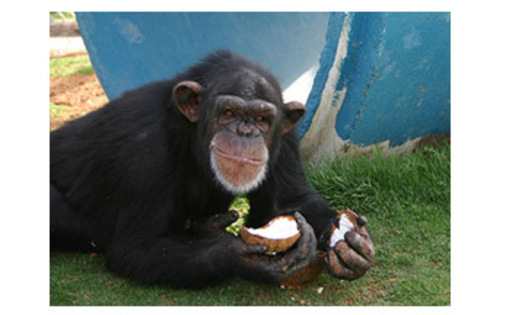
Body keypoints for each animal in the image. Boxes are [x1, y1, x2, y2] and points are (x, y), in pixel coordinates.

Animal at [50, 50, 372, 288]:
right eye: (228, 112)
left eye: (262, 118)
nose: (245, 132)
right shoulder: (144, 149)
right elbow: (136, 248)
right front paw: (243, 259)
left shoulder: (286, 133)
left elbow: (290, 202)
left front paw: (352, 244)